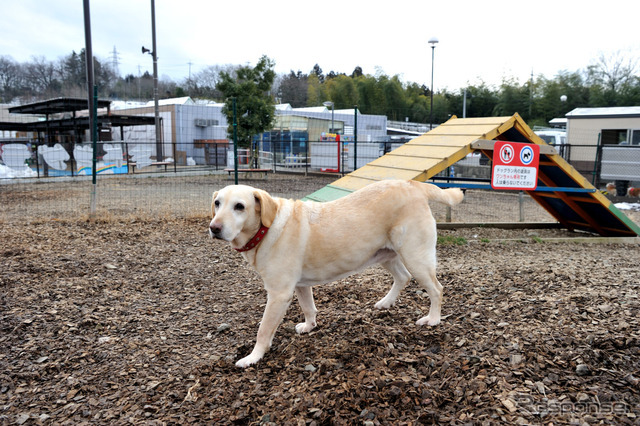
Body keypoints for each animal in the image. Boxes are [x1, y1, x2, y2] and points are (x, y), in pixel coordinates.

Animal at [210, 179, 464, 366]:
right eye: (217, 203)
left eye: (239, 206)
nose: (214, 228)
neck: (267, 227)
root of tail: (414, 184)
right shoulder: (300, 285)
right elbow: (308, 307)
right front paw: (310, 326)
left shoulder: (278, 294)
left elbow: (263, 330)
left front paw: (253, 357)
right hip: (386, 254)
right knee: (403, 277)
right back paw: (386, 303)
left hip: (415, 256)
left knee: (437, 289)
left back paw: (433, 319)